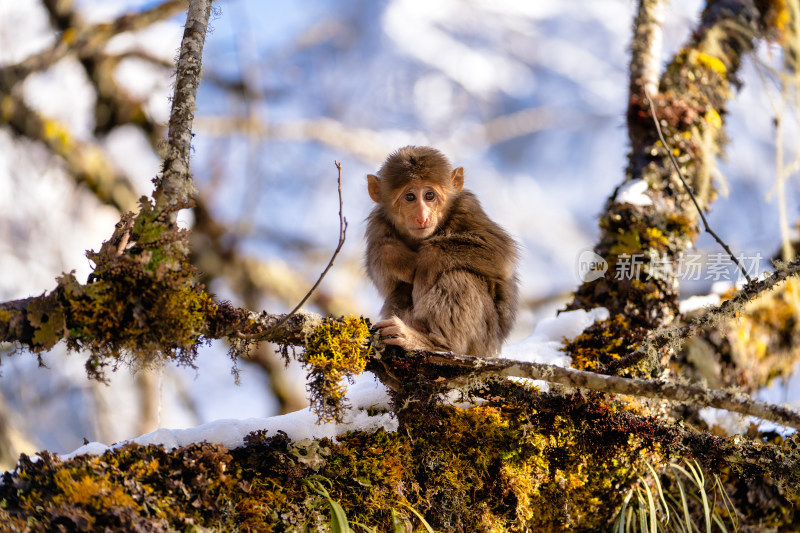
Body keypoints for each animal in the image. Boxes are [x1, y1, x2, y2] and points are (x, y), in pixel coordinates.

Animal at [368, 144, 520, 358]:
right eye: (409, 197)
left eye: (429, 195)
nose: (422, 216)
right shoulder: (378, 225)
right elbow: (382, 272)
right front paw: (392, 256)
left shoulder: (467, 207)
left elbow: (500, 254)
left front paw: (427, 262)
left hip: (482, 342)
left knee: (460, 277)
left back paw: (435, 343)